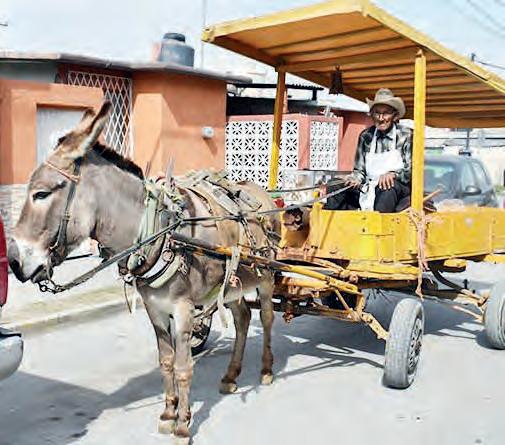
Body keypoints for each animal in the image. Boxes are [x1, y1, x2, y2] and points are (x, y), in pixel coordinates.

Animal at [8, 102, 280, 444]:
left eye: (41, 194)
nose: (13, 261)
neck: (159, 230)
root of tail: (264, 191)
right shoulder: (155, 309)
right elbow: (166, 362)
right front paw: (167, 414)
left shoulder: (184, 310)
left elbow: (183, 367)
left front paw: (183, 426)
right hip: (231, 285)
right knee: (243, 319)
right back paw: (231, 376)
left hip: (266, 279)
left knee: (266, 318)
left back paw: (267, 370)